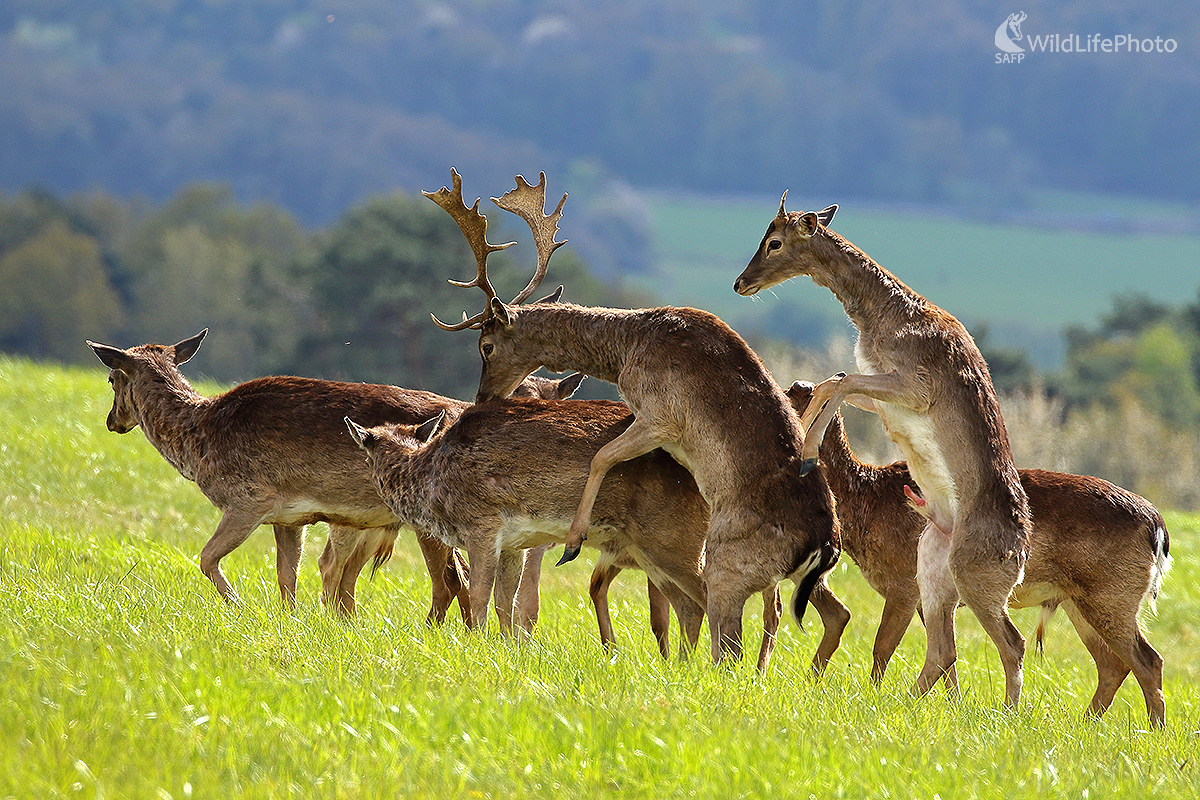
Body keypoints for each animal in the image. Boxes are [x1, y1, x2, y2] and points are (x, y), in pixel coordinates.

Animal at [84, 328, 576, 618]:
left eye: (111, 379)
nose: (111, 421)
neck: (200, 440)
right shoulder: (289, 516)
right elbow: (287, 576)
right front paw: (289, 620)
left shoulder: (249, 498)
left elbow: (206, 558)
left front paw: (240, 607)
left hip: (436, 520)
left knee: (453, 582)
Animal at [427, 172, 840, 666]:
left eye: (486, 345)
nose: (482, 398)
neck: (627, 346)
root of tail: (824, 546)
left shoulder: (660, 415)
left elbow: (601, 457)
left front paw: (573, 542)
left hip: (728, 559)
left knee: (732, 629)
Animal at [729, 199, 1032, 705]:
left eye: (775, 241)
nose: (739, 282)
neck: (887, 319)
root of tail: (1021, 552)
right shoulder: (881, 388)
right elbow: (836, 381)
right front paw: (804, 446)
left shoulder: (914, 386)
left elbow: (838, 379)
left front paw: (805, 452)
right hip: (932, 570)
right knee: (943, 649)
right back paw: (902, 704)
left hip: (976, 580)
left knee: (1013, 643)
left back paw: (1005, 713)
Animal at [787, 379, 1171, 729]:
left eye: (790, 396)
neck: (866, 503)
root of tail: (1157, 528)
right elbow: (949, 662)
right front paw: (952, 706)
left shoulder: (904, 583)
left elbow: (884, 646)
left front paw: (873, 697)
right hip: (1080, 601)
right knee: (1114, 663)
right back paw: (1087, 724)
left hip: (1111, 595)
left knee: (1147, 659)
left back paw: (1153, 731)